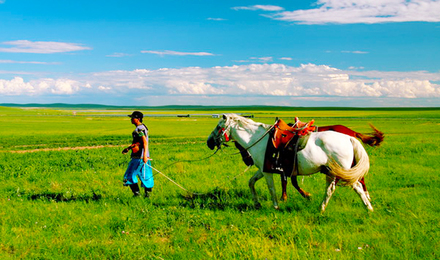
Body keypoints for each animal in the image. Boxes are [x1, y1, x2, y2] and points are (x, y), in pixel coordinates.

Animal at [208, 115, 372, 212]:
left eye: (218, 127)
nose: (209, 142)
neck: (258, 139)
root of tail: (349, 137)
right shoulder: (263, 169)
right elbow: (251, 182)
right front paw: (257, 203)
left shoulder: (267, 171)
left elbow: (272, 188)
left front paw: (276, 205)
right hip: (332, 172)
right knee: (336, 188)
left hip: (341, 171)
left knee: (353, 186)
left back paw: (366, 207)